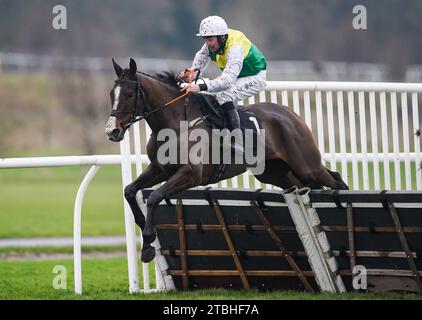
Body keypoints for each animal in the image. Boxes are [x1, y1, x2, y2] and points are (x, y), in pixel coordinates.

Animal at [104, 59, 346, 262]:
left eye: (128, 94)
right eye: (111, 94)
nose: (112, 131)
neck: (177, 122)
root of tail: (291, 114)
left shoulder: (191, 174)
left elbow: (154, 197)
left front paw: (147, 241)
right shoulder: (160, 169)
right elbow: (129, 190)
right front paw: (145, 237)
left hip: (306, 165)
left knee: (334, 178)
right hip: (275, 172)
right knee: (302, 186)